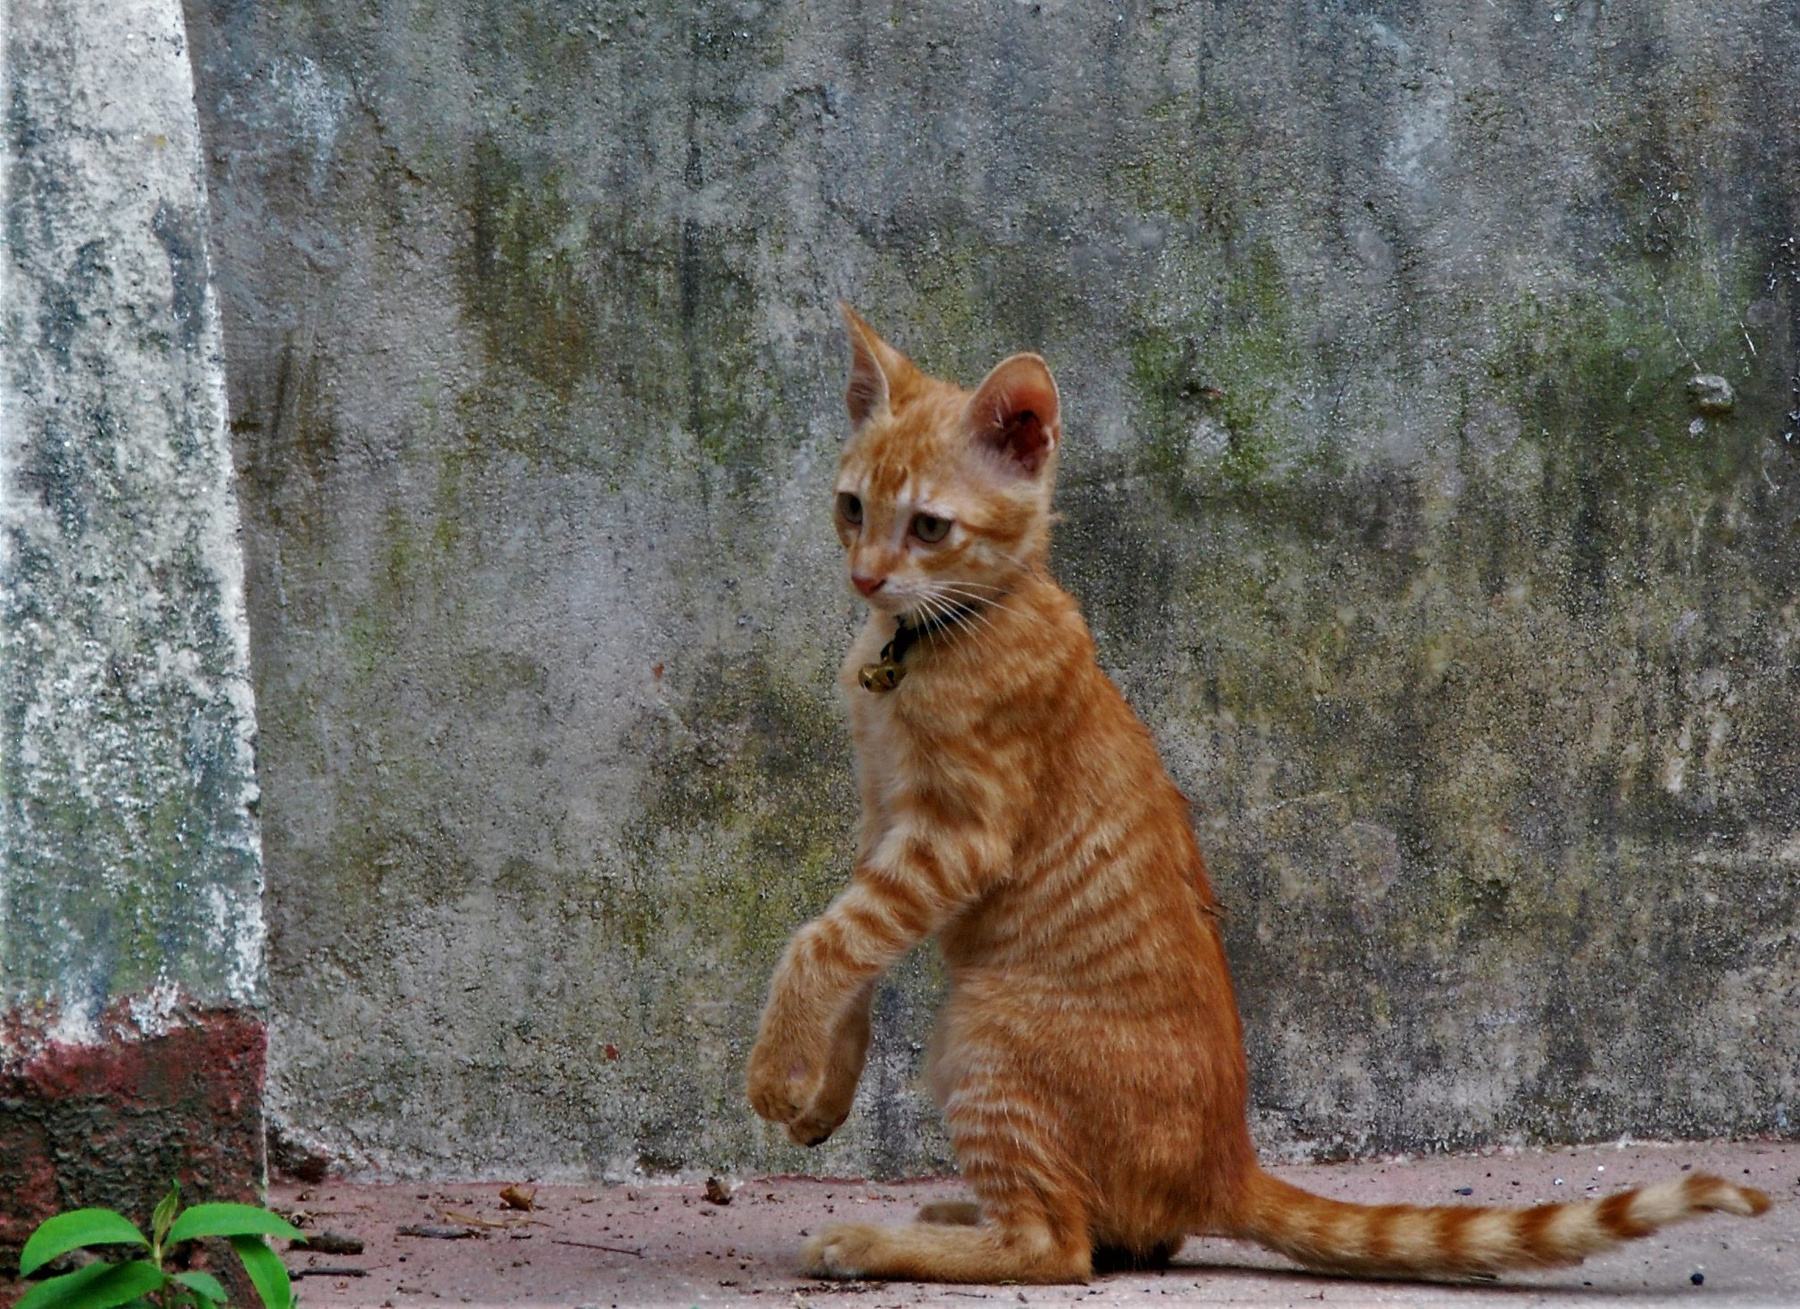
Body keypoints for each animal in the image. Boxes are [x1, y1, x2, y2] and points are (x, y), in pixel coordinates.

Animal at [744, 305, 1771, 1284]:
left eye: (929, 527)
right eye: (851, 507)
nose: (865, 575)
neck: (928, 639)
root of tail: (1224, 1164)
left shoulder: (954, 835)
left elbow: (821, 940)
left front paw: (772, 1069)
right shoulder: (883, 824)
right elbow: (852, 951)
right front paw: (822, 1083)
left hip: (985, 1033)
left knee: (1056, 1246)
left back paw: (878, 1240)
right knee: (1121, 1237)